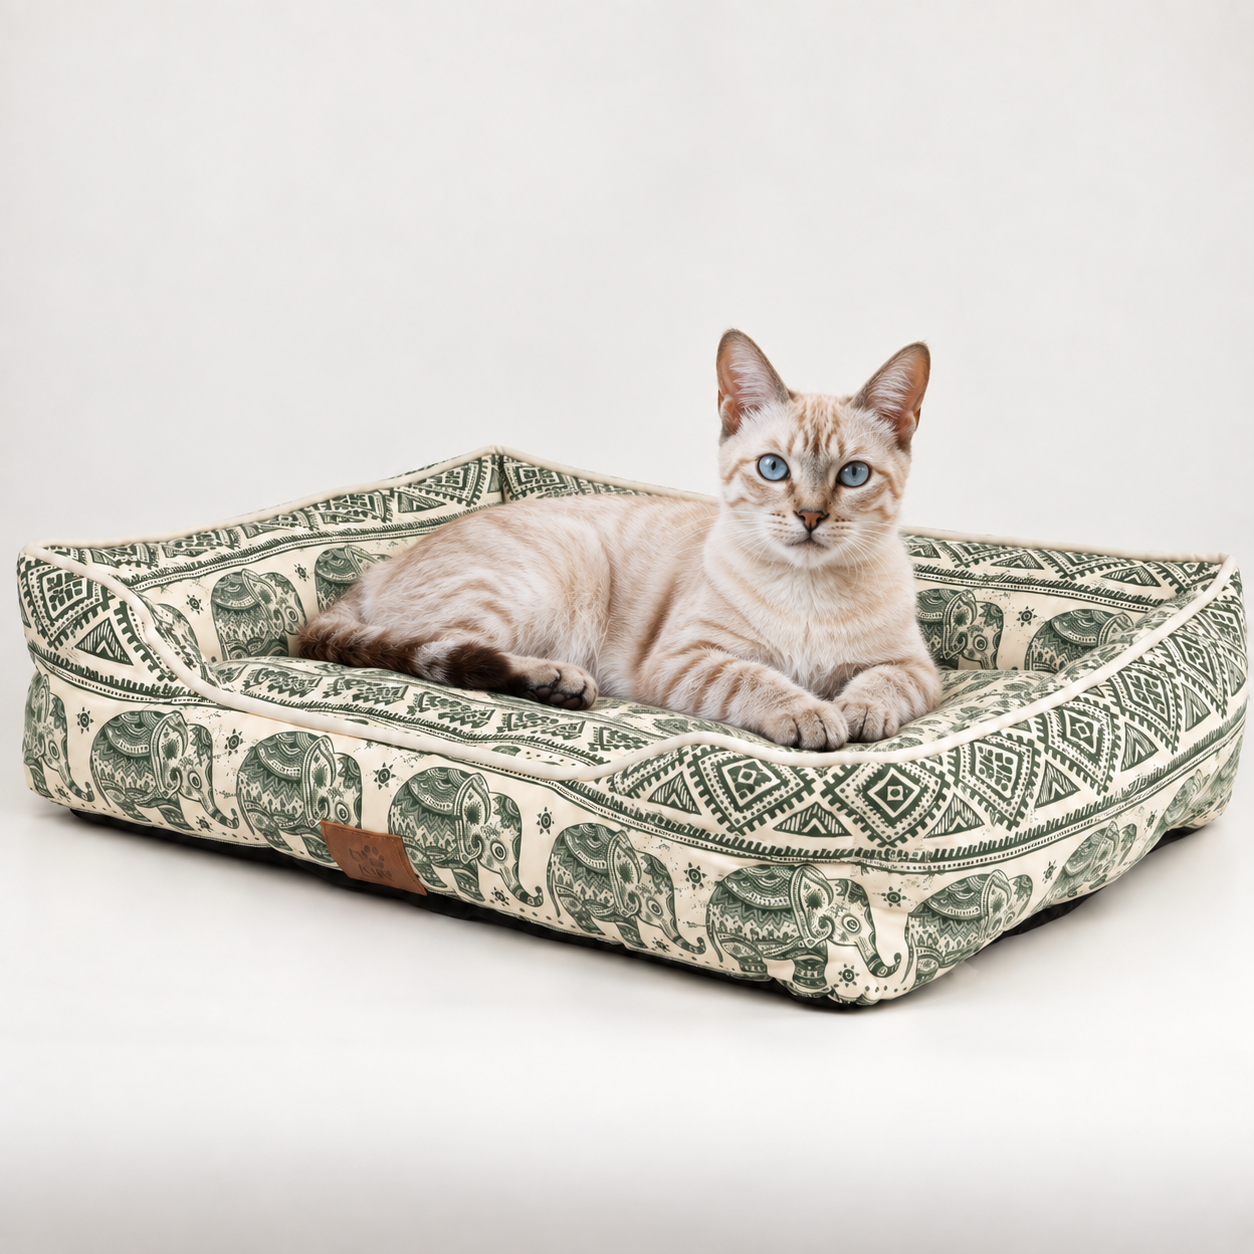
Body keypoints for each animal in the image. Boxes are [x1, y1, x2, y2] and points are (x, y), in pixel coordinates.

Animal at [90, 709, 237, 831]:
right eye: (195, 781)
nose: (234, 812)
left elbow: (170, 808)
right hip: (107, 776)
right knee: (119, 798)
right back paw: (143, 818)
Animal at [389, 767, 542, 906]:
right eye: (499, 851)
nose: (538, 889)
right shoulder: (456, 837)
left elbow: (467, 870)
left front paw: (476, 897)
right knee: (418, 859)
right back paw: (439, 885)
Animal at [547, 823, 705, 955]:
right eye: (655, 908)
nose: (700, 940)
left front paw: (641, 946)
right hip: (564, 876)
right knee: (572, 903)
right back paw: (595, 930)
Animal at [706, 864, 899, 992]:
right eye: (852, 924)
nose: (897, 956)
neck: (827, 882)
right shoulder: (804, 928)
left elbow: (816, 958)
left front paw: (814, 987)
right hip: (730, 930)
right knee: (743, 951)